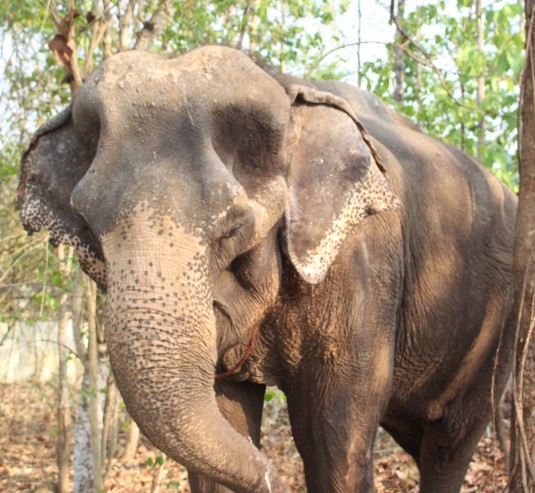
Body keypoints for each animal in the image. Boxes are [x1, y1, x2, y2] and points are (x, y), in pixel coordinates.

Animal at [18, 46, 516, 492]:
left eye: (233, 229)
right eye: (90, 228)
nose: (270, 475)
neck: (280, 83)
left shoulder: (363, 262)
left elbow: (332, 433)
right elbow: (226, 417)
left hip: (499, 326)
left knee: (450, 441)